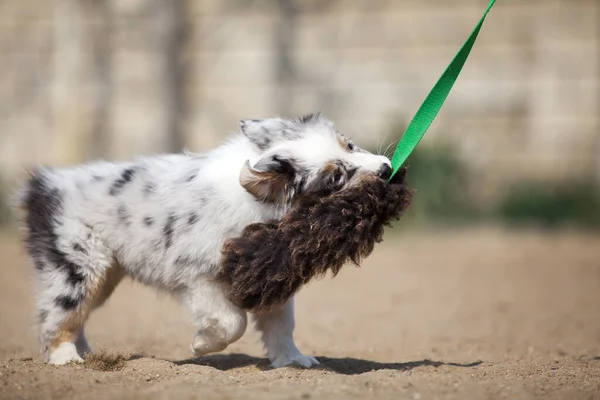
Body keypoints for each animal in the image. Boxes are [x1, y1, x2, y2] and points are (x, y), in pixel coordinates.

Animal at [16, 114, 392, 368]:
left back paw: (86, 354)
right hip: (78, 265)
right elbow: (233, 323)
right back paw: (65, 358)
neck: (261, 203)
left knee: (76, 314)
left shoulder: (270, 272)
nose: (387, 169)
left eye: (349, 144)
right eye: (336, 177)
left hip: (105, 274)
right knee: (57, 314)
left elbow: (281, 324)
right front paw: (200, 346)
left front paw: (291, 360)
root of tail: (44, 185)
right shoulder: (198, 280)